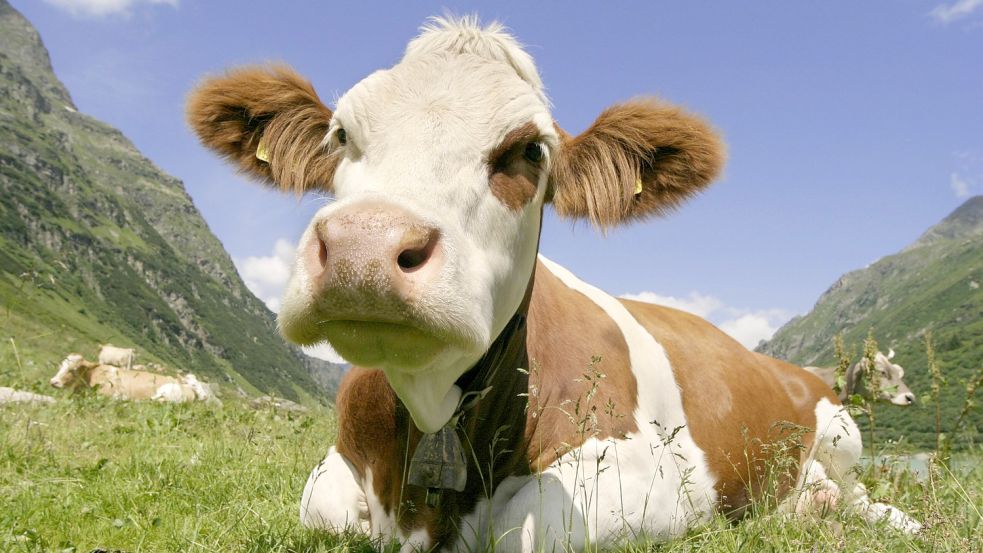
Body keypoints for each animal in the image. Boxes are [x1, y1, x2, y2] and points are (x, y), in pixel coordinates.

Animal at [187, 17, 921, 552]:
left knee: (867, 501)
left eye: (528, 151)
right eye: (341, 135)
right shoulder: (335, 471)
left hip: (844, 443)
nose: (364, 247)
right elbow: (324, 507)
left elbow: (523, 528)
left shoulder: (656, 478)